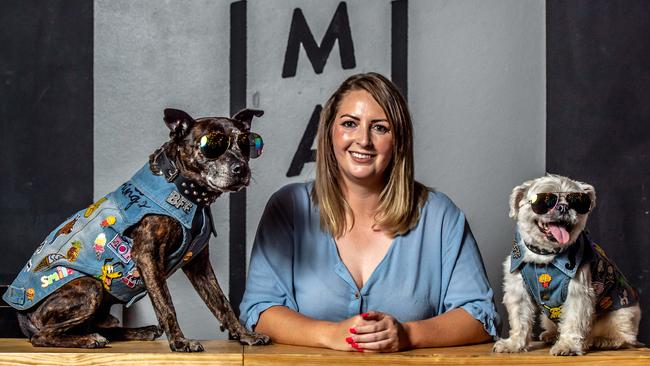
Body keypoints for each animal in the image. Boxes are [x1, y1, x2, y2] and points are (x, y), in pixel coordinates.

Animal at [12, 108, 270, 352]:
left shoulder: (199, 264)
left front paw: (245, 335)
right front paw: (180, 342)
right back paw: (89, 339)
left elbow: (221, 303)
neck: (183, 191)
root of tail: (22, 316)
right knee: (43, 335)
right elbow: (166, 304)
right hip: (90, 287)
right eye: (212, 145)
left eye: (245, 144)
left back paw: (140, 331)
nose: (241, 168)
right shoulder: (147, 256)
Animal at [492, 174, 636, 354]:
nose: (563, 207)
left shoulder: (578, 292)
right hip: (547, 319)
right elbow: (520, 320)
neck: (545, 256)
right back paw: (552, 335)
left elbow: (574, 320)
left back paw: (604, 340)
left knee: (625, 337)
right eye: (546, 200)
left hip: (621, 315)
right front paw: (513, 344)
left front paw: (567, 345)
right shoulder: (518, 291)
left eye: (576, 201)